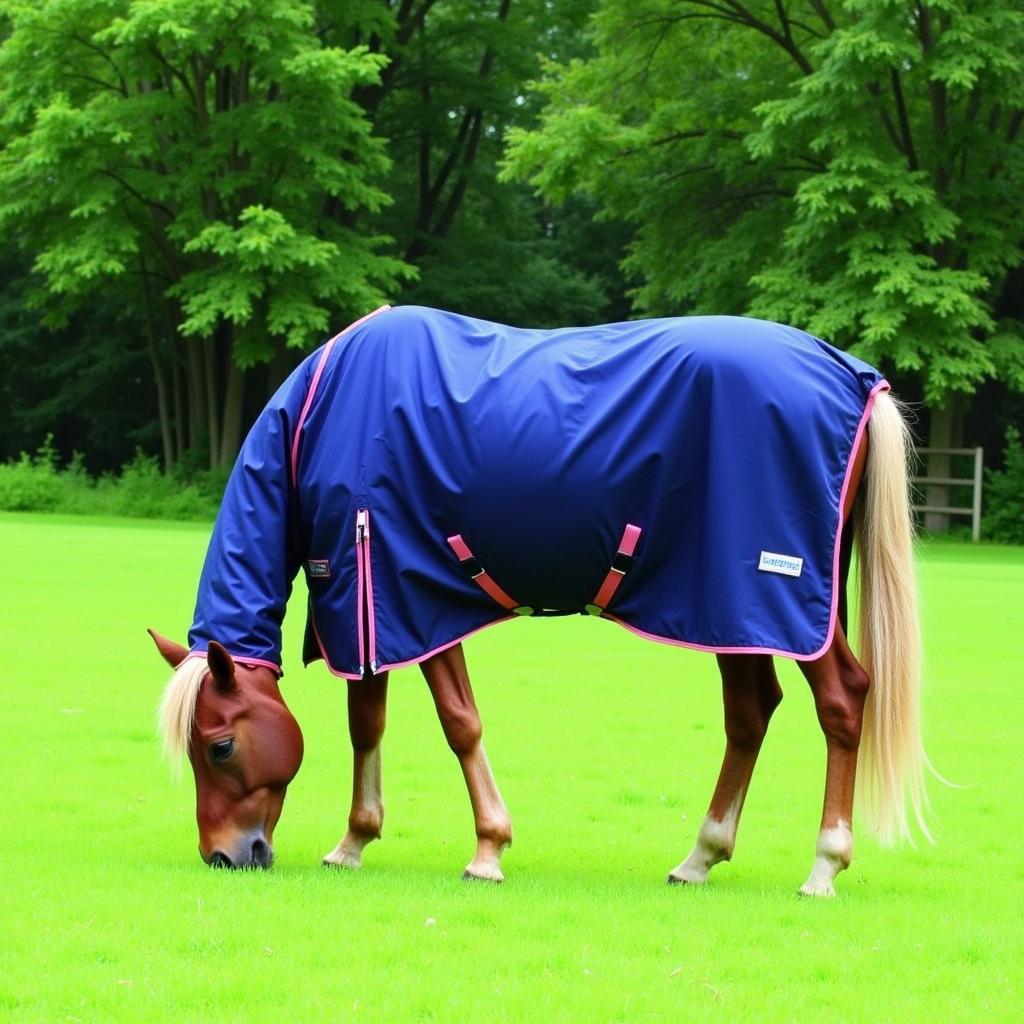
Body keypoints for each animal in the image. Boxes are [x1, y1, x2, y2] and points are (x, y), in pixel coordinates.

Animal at [153, 303, 929, 897]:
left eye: (219, 746)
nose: (226, 856)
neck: (326, 414)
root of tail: (855, 378)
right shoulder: (364, 609)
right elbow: (366, 722)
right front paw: (354, 841)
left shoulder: (410, 599)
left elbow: (459, 724)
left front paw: (487, 851)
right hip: (729, 612)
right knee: (750, 712)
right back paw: (700, 857)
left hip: (780, 605)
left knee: (842, 701)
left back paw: (823, 866)